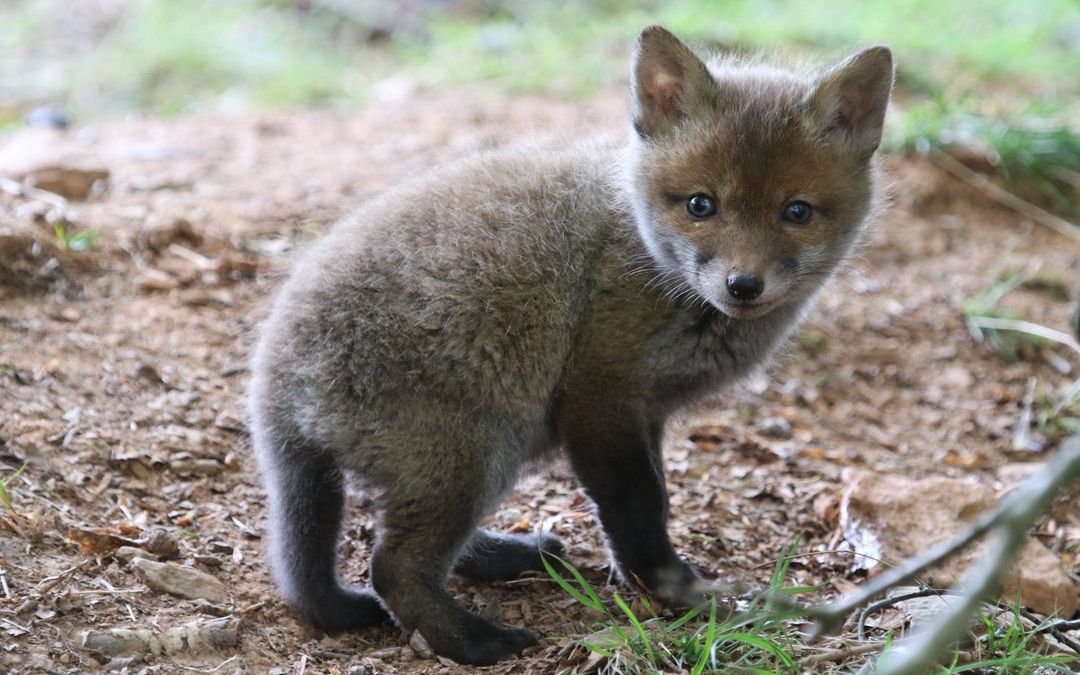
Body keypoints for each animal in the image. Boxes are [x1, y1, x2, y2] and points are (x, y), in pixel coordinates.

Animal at [247, 24, 894, 665]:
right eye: (701, 204)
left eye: (797, 212)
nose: (743, 285)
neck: (648, 259)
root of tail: (275, 385)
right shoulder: (597, 398)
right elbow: (640, 506)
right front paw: (674, 590)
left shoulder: (647, 413)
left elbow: (656, 500)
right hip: (475, 453)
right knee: (393, 568)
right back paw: (476, 642)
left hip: (469, 463)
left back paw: (509, 557)